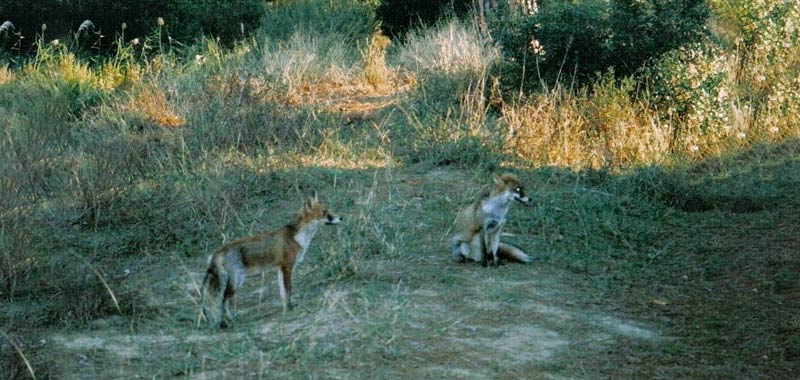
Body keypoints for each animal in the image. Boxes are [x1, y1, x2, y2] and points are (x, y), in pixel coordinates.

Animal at [200, 194, 340, 328]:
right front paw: (290, 307)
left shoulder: (280, 268)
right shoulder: (287, 266)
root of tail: (218, 251)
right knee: (222, 300)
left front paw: (285, 307)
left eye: (329, 210)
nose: (341, 218)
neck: (297, 237)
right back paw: (227, 322)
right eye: (325, 212)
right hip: (237, 281)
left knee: (222, 301)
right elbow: (289, 290)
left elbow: (283, 292)